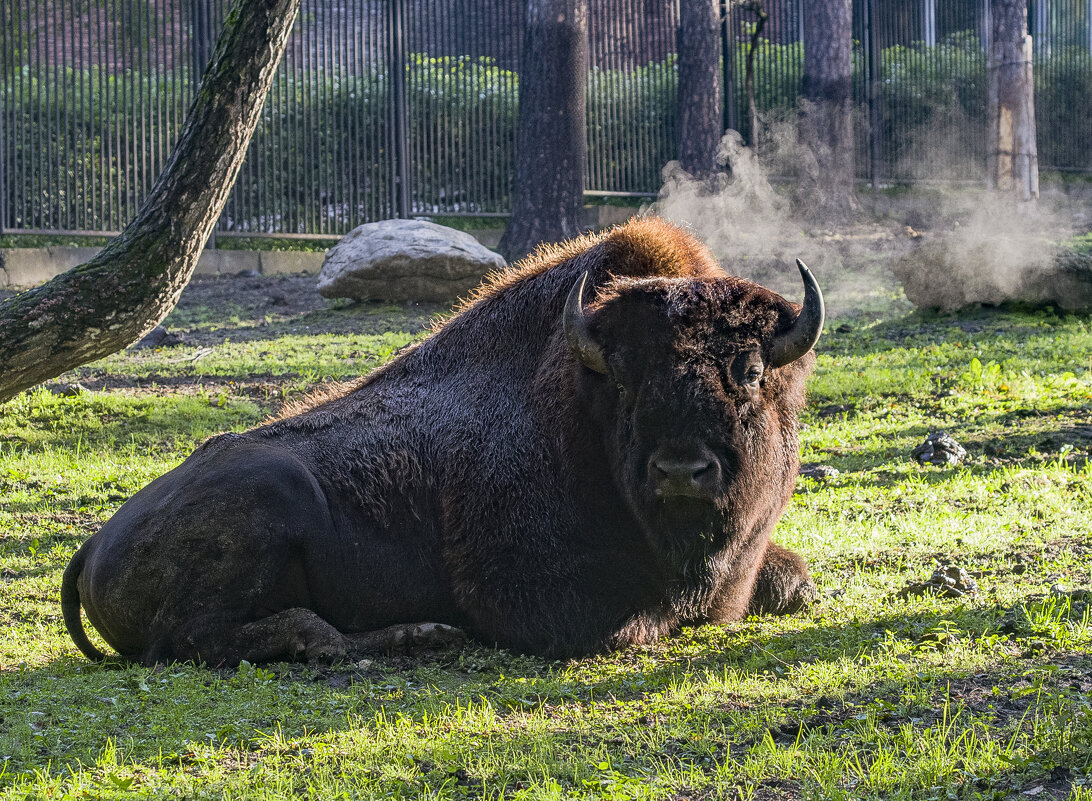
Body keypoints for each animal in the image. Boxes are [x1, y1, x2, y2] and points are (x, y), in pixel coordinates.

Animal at [63, 218, 821, 663]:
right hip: (266, 499)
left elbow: (794, 583)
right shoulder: (543, 599)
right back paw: (413, 635)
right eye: (626, 380)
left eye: (750, 370)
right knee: (228, 635)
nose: (681, 470)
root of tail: (93, 542)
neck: (582, 409)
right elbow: (640, 621)